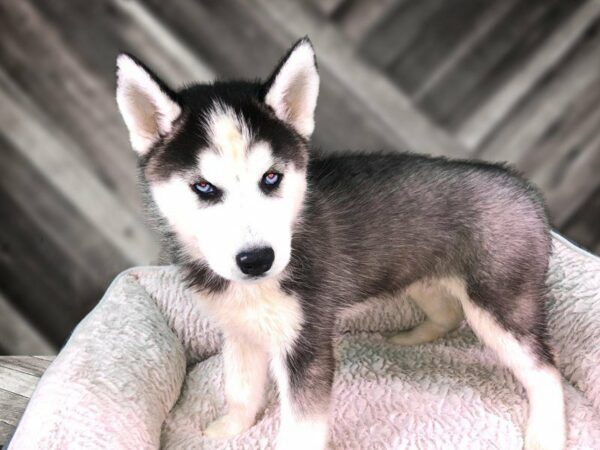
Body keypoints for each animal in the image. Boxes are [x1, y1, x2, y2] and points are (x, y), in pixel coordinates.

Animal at [116, 38, 568, 450]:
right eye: (204, 187)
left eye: (271, 178)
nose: (258, 260)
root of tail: (524, 187)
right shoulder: (240, 331)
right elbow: (240, 389)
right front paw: (228, 429)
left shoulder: (306, 344)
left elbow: (300, 429)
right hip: (424, 281)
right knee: (448, 314)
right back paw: (410, 338)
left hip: (500, 305)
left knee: (546, 372)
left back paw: (545, 434)